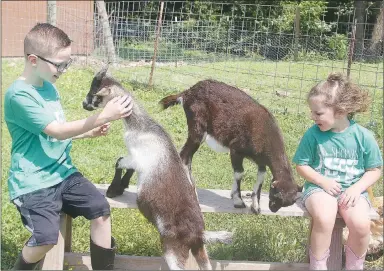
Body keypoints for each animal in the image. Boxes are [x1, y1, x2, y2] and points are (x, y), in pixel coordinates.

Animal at [82, 67, 231, 270]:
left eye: (95, 94)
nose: (84, 104)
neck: (142, 127)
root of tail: (199, 234)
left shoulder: (137, 157)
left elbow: (119, 161)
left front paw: (113, 190)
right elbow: (128, 169)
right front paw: (121, 187)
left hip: (173, 249)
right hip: (199, 251)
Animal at [159, 79, 300, 214]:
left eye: (288, 203)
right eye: (276, 196)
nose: (273, 209)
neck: (265, 133)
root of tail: (187, 92)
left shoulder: (261, 161)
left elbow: (260, 177)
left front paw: (255, 206)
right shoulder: (236, 149)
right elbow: (239, 172)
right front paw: (238, 201)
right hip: (197, 129)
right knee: (185, 157)